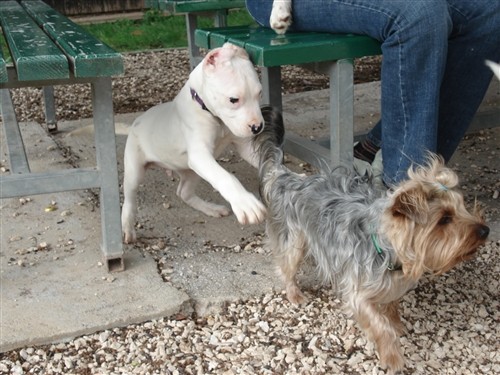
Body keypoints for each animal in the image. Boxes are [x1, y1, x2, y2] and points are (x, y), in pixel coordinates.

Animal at [122, 43, 266, 244]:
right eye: (233, 99)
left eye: (259, 93)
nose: (257, 127)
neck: (212, 115)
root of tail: (135, 123)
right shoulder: (200, 155)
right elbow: (225, 177)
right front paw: (245, 202)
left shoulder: (242, 146)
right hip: (135, 170)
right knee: (129, 198)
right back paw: (128, 227)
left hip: (192, 172)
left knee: (184, 193)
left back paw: (211, 209)